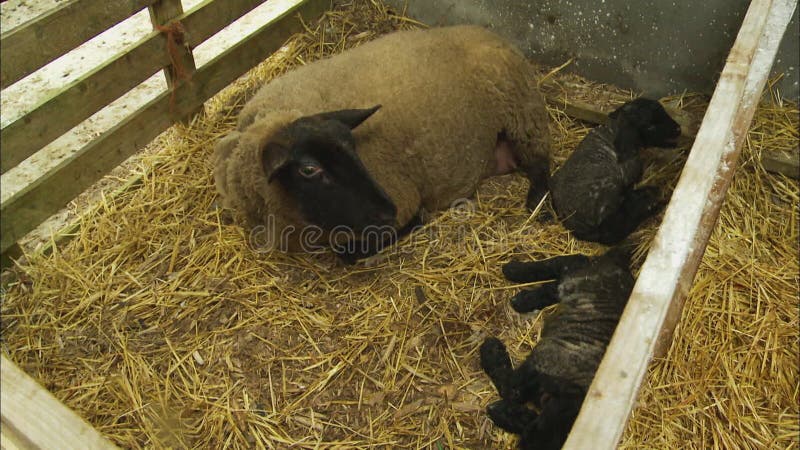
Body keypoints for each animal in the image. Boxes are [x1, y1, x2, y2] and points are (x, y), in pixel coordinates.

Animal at [212, 24, 552, 262]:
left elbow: (348, 253)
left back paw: (538, 204)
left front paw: (416, 221)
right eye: (309, 169)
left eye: (353, 147)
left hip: (524, 114)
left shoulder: (397, 199)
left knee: (541, 164)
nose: (389, 210)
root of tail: (491, 34)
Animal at [478, 248, 636, 448]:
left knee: (560, 278)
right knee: (568, 262)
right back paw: (514, 273)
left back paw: (523, 295)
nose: (493, 410)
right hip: (582, 273)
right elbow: (509, 388)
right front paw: (491, 349)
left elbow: (510, 390)